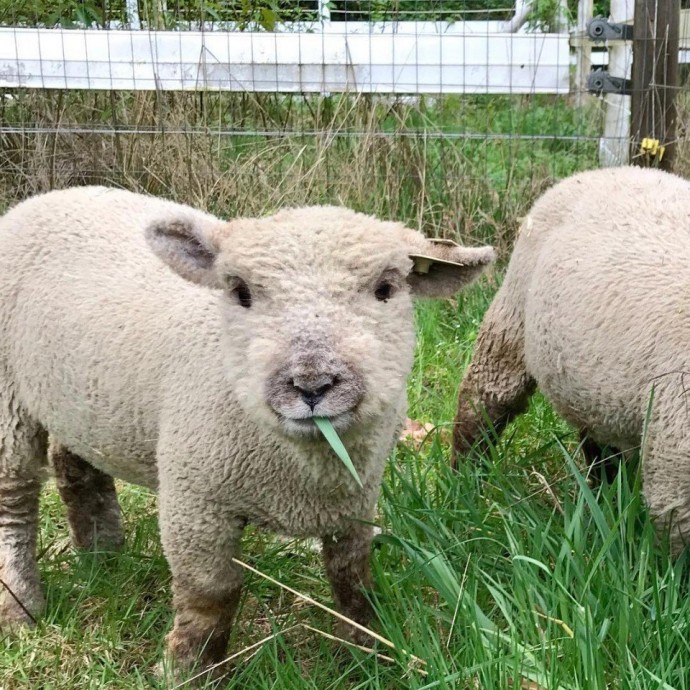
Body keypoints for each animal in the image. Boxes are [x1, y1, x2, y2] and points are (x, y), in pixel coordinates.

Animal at [0, 184, 494, 672]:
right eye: (240, 292)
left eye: (386, 289)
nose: (311, 384)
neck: (302, 468)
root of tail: (47, 197)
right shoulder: (195, 503)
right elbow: (210, 596)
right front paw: (190, 670)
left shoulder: (357, 497)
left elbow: (352, 578)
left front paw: (367, 654)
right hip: (9, 401)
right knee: (13, 500)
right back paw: (20, 608)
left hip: (79, 398)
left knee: (75, 466)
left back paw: (103, 559)